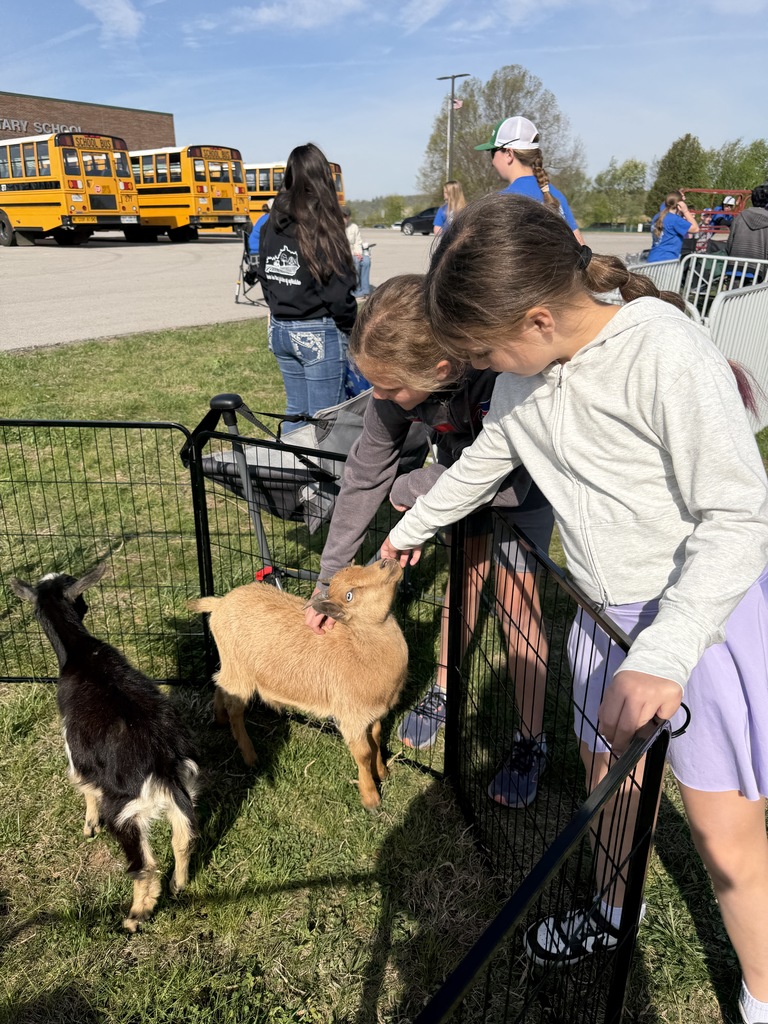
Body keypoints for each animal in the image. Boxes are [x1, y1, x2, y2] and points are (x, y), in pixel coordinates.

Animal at [11, 564, 200, 932]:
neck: (80, 653)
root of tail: (161, 761)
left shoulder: (75, 748)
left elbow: (83, 784)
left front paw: (89, 824)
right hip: (185, 783)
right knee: (183, 838)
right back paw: (179, 885)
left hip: (125, 810)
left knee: (144, 864)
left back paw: (136, 916)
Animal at [190, 559, 408, 810]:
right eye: (349, 595)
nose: (387, 562)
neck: (362, 649)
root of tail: (219, 603)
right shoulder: (351, 716)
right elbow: (363, 754)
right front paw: (371, 798)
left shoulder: (373, 714)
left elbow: (377, 739)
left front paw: (382, 773)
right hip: (240, 671)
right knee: (235, 709)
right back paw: (250, 755)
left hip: (231, 665)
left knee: (220, 683)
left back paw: (220, 718)